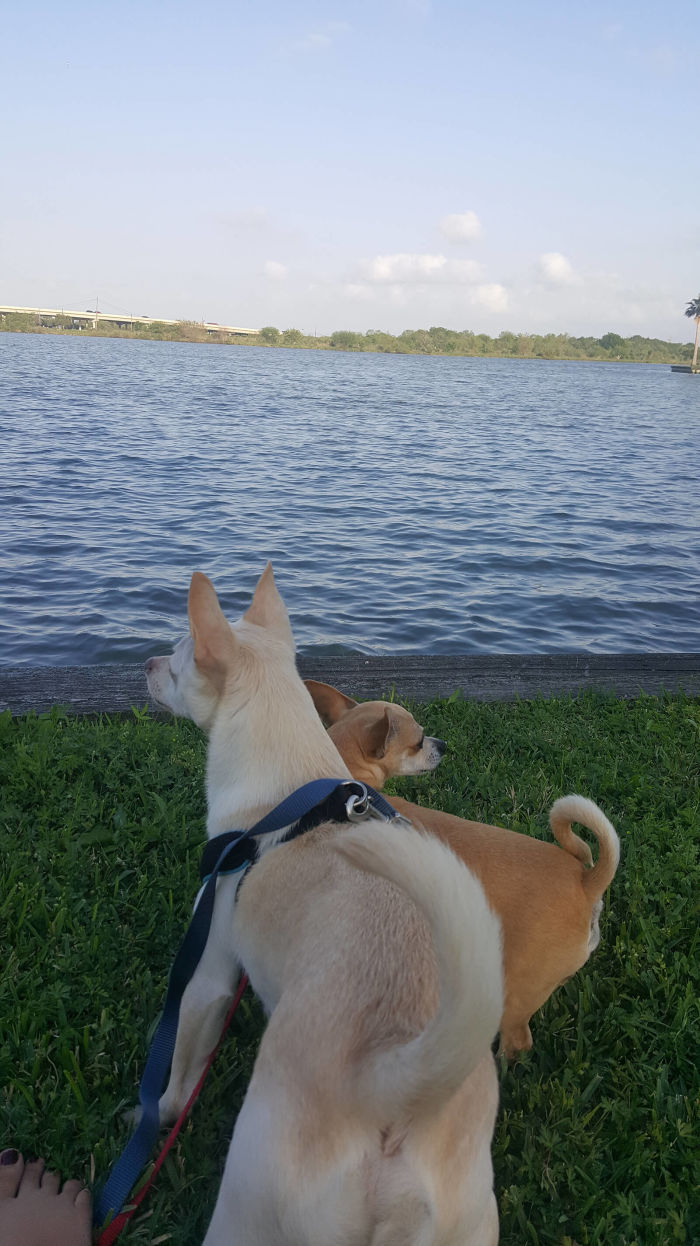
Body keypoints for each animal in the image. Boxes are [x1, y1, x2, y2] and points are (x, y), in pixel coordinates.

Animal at [144, 568, 500, 1246]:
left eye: (175, 661)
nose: (144, 662)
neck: (291, 788)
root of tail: (393, 1085)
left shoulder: (210, 971)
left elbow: (179, 1065)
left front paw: (155, 1117)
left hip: (247, 1208)